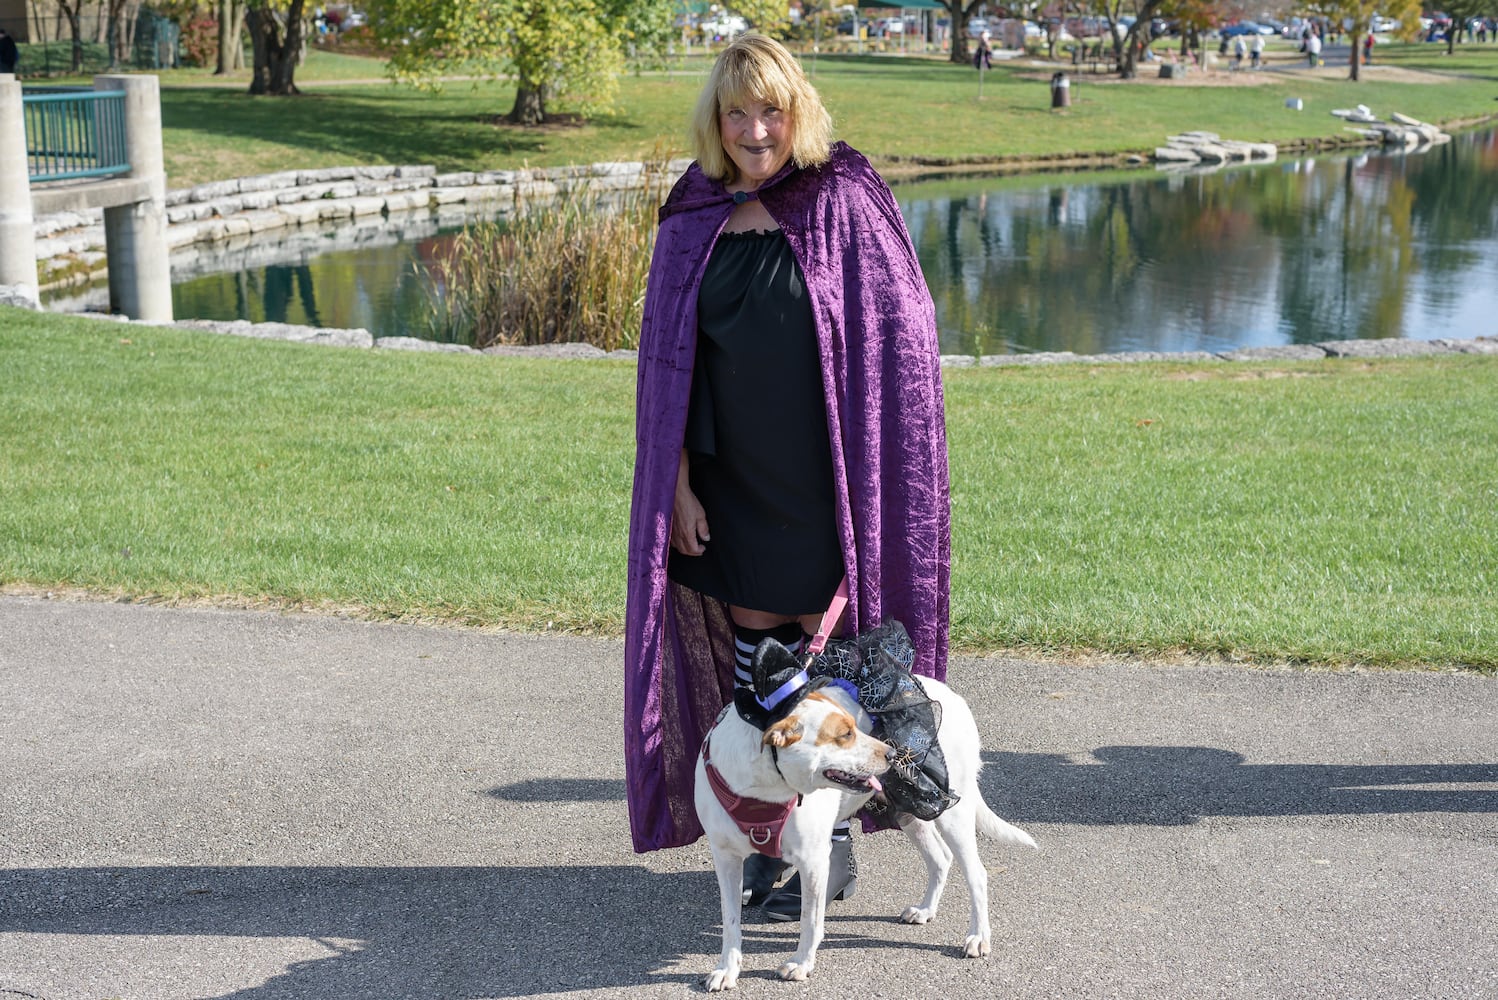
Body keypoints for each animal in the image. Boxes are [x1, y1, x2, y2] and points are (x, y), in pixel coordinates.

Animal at [692, 637, 1036, 988]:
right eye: (845, 734)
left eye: (854, 726)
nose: (894, 753)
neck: (765, 788)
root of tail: (954, 698)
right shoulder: (726, 860)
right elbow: (731, 922)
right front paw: (727, 969)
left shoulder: (813, 859)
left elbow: (810, 920)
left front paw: (802, 963)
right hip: (910, 810)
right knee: (940, 857)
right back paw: (926, 910)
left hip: (952, 812)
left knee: (976, 873)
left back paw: (978, 936)